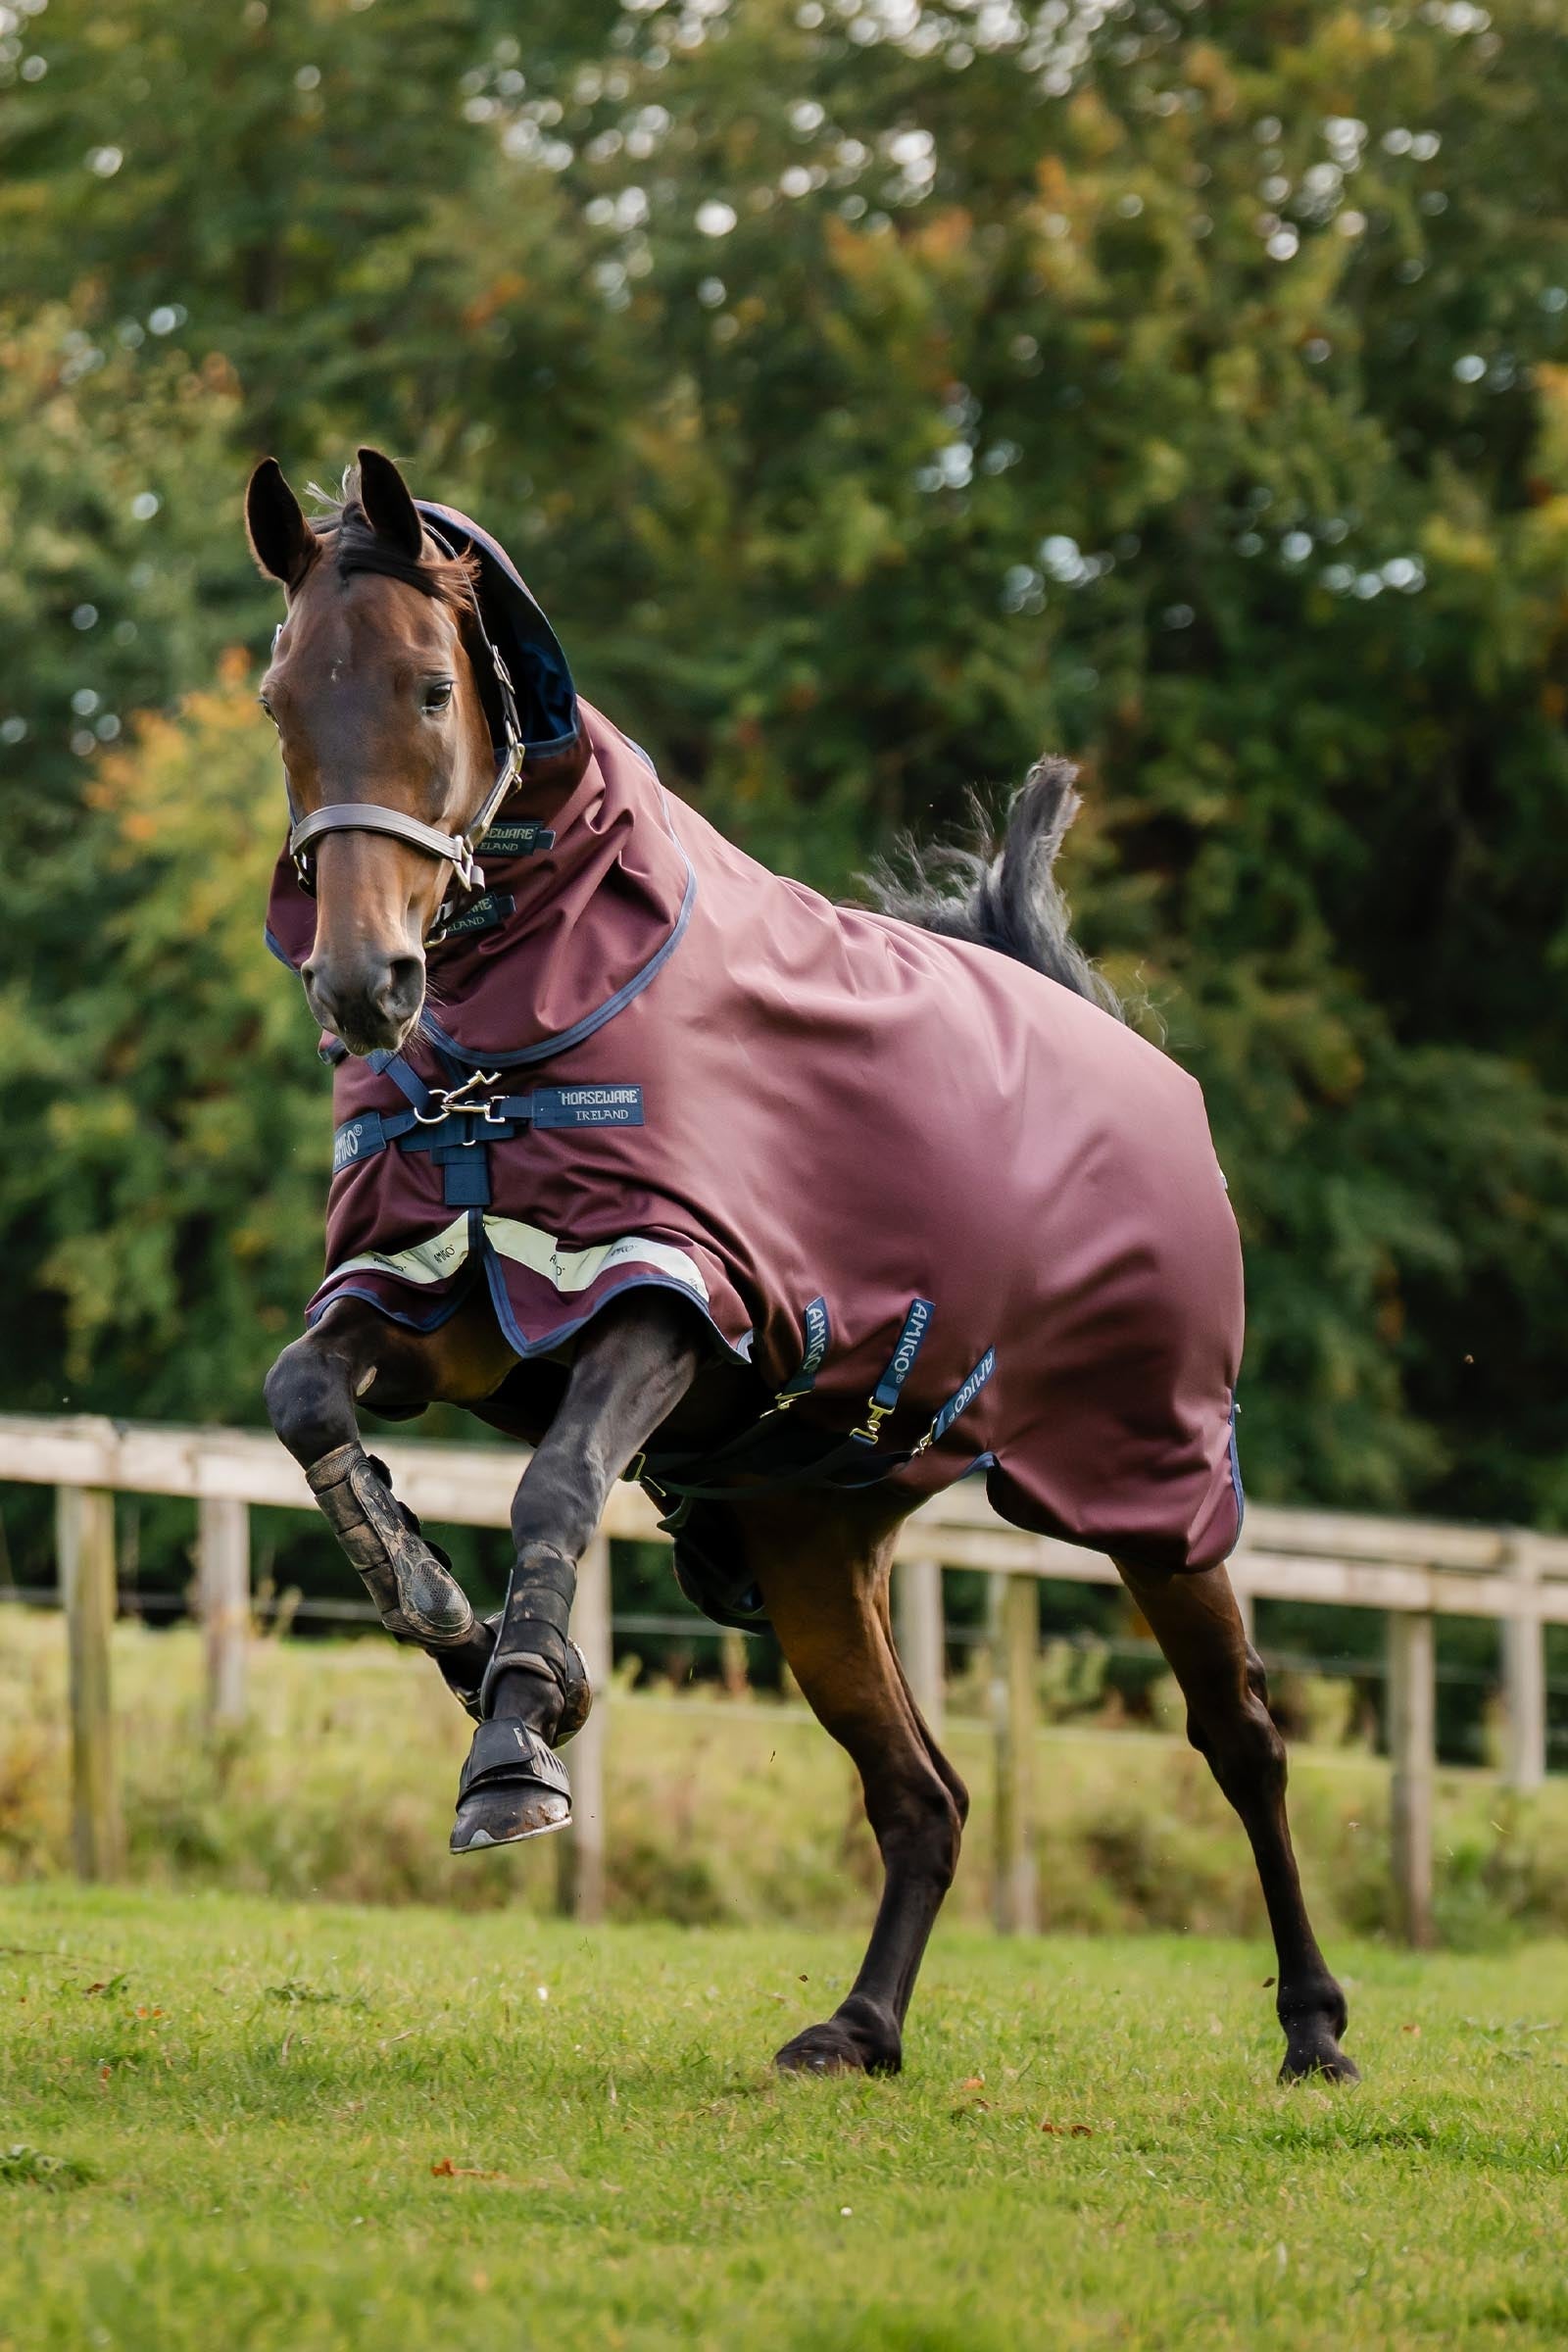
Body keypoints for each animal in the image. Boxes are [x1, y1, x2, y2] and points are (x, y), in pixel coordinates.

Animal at [248, 446, 1356, 2085]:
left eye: (430, 689)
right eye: (279, 698)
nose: (360, 983)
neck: (512, 1048)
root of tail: (1122, 1045)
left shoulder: (669, 1299)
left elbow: (555, 1485)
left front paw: (517, 1740)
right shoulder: (439, 1294)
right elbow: (306, 1397)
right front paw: (456, 1630)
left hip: (1153, 1487)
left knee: (1243, 1741)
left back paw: (1316, 2029)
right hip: (812, 1542)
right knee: (923, 1795)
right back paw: (861, 2026)